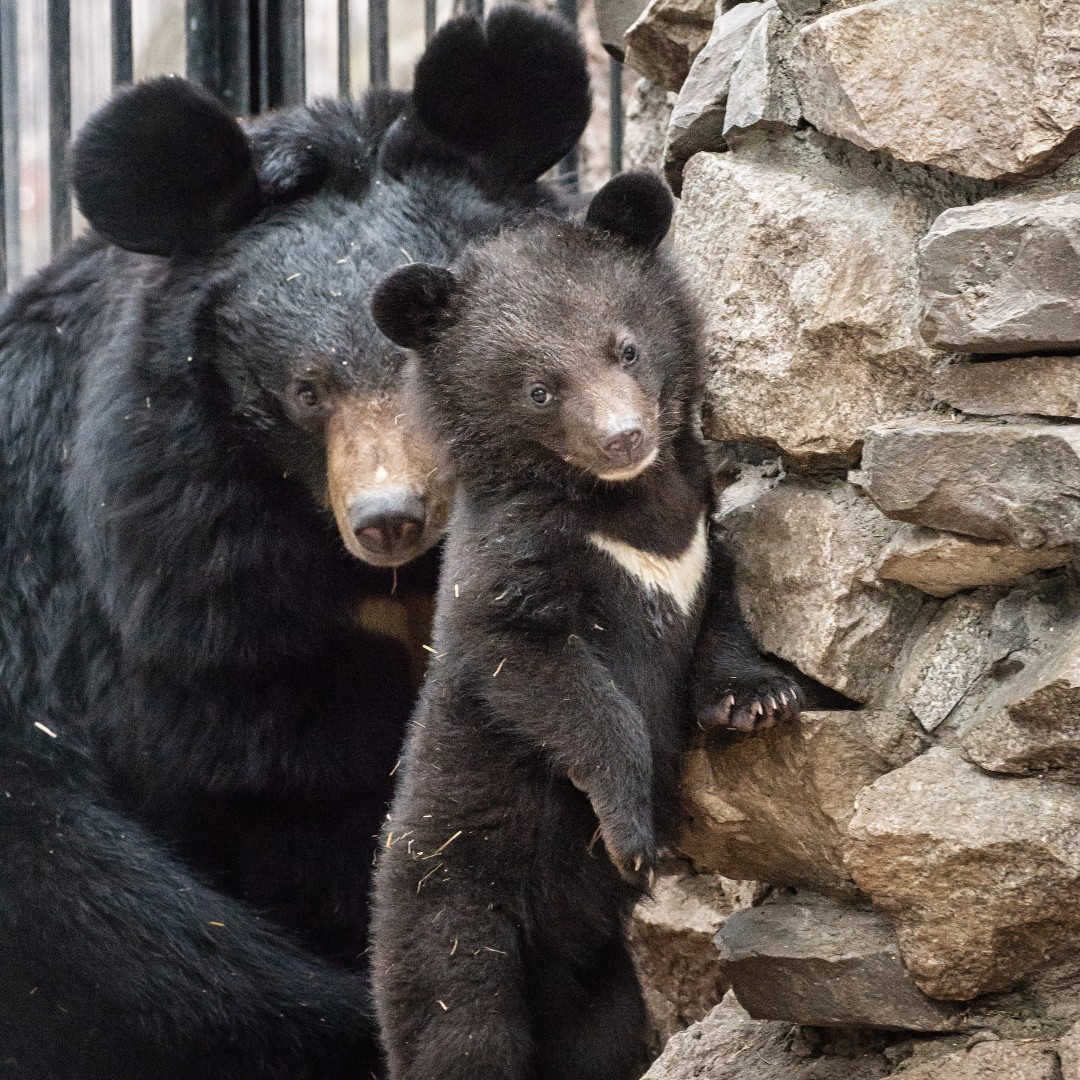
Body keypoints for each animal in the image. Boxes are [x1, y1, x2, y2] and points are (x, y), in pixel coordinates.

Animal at [371, 172, 803, 1080]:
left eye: (626, 349)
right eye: (540, 389)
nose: (624, 436)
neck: (625, 506)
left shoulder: (697, 529)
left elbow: (723, 609)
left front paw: (759, 700)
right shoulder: (514, 567)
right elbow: (541, 674)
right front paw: (633, 834)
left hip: (599, 978)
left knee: (599, 1038)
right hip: (452, 911)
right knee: (459, 1029)